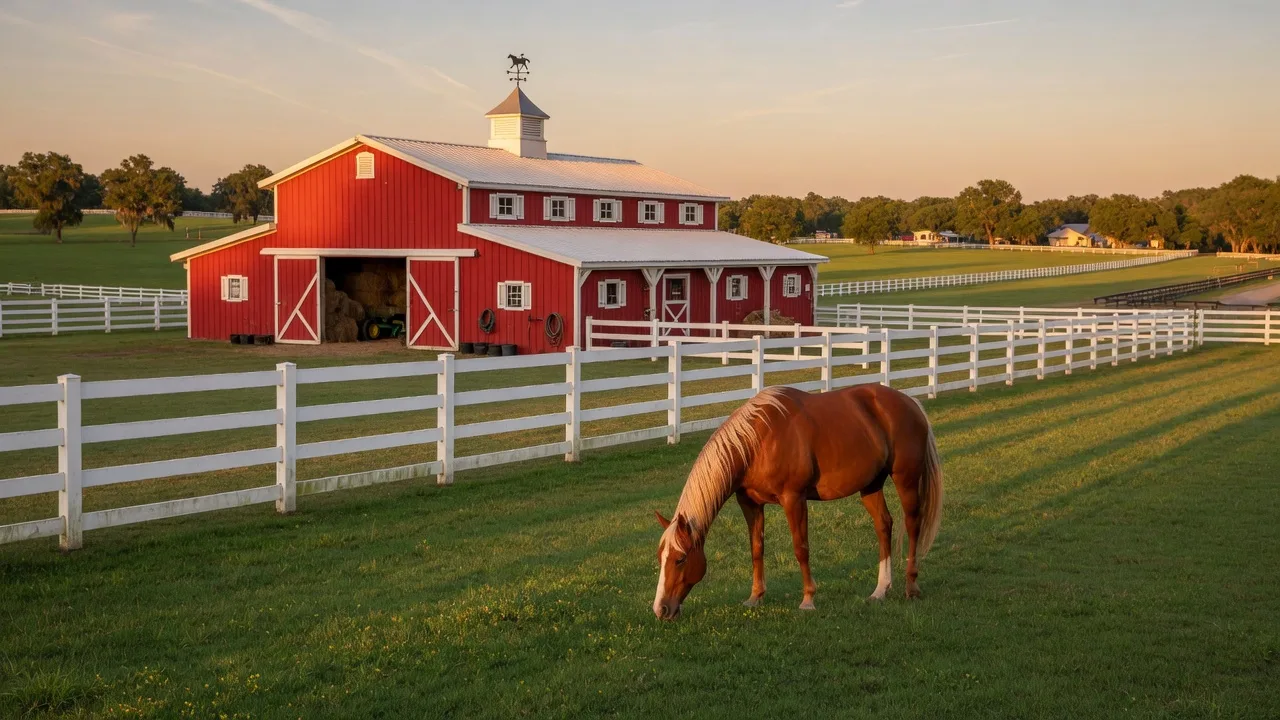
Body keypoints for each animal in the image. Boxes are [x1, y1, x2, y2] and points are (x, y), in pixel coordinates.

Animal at [653, 384, 943, 620]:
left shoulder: (793, 498)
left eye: (680, 559)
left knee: (913, 524)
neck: (758, 440)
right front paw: (755, 597)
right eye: (660, 557)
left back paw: (911, 586)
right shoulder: (750, 503)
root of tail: (910, 402)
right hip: (870, 486)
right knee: (884, 525)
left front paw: (808, 599)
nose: (661, 609)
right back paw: (880, 590)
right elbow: (756, 549)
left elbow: (800, 548)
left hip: (905, 480)